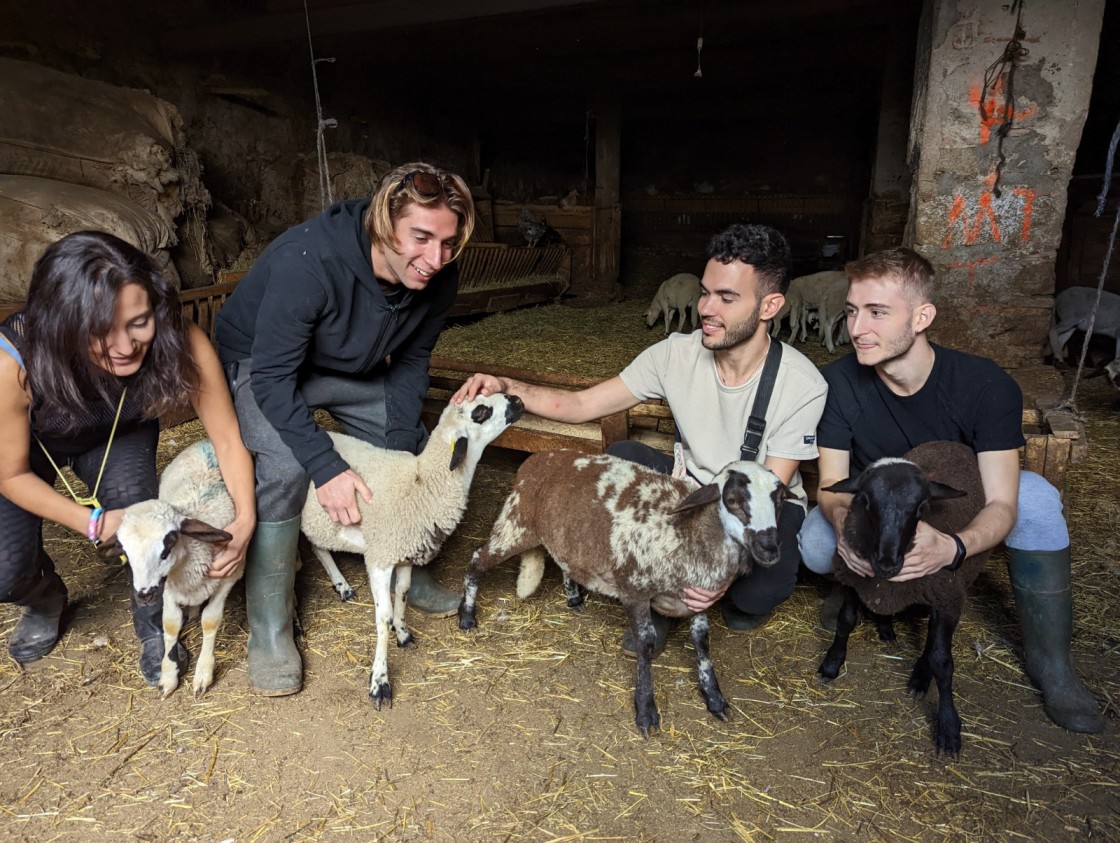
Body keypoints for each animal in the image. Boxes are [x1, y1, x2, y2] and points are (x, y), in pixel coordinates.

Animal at [100, 441, 240, 698]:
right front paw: (168, 677)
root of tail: (204, 442)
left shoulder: (229, 576)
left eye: (169, 542)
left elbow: (210, 620)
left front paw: (203, 674)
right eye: (124, 549)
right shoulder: (167, 589)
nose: (144, 595)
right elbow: (170, 625)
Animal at [297, 391, 524, 707]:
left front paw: (403, 633)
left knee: (319, 547)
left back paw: (341, 585)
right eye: (480, 411)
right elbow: (382, 618)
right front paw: (380, 681)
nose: (516, 399)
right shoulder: (380, 556)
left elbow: (402, 593)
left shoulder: (404, 553)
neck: (423, 485)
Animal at [454, 450, 788, 734]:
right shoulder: (635, 590)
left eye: (779, 500)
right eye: (731, 499)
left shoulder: (696, 596)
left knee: (565, 561)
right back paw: (467, 615)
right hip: (515, 523)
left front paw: (714, 697)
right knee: (476, 558)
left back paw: (573, 596)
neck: (688, 530)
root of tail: (536, 459)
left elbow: (702, 642)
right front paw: (646, 710)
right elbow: (646, 644)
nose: (770, 549)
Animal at [815, 441, 990, 756]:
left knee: (933, 640)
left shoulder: (947, 598)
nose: (887, 563)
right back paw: (886, 629)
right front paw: (832, 663)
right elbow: (845, 621)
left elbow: (943, 662)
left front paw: (948, 726)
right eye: (866, 501)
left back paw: (920, 676)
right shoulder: (853, 576)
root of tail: (952, 443)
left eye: (921, 507)